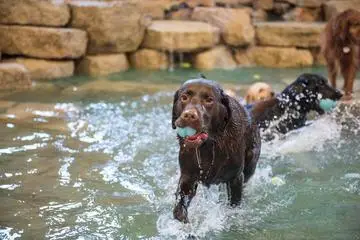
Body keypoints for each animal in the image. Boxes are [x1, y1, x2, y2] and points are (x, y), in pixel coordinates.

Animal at [172, 77, 262, 223]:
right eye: (184, 97)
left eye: (209, 100)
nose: (189, 115)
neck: (209, 145)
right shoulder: (188, 176)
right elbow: (179, 208)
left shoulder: (235, 178)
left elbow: (233, 205)